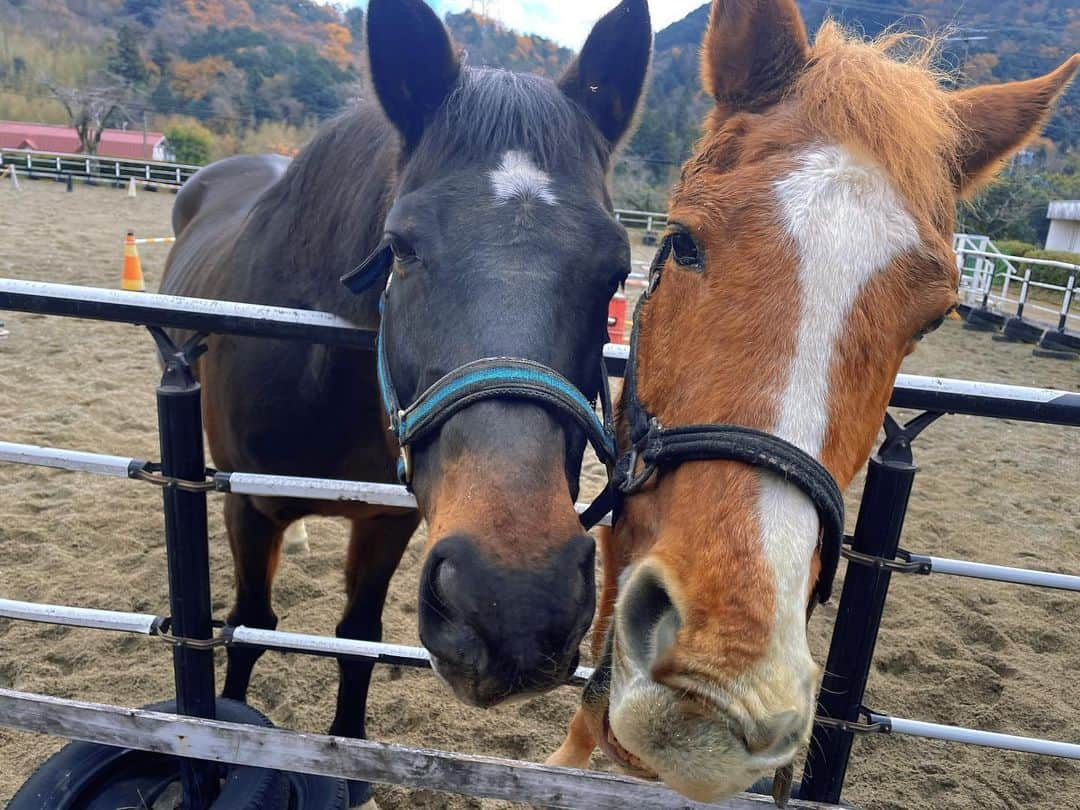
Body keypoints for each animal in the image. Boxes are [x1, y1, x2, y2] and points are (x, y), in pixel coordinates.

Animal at [160, 0, 648, 807]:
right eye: (402, 246)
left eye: (616, 271)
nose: (515, 603)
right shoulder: (246, 506)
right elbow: (252, 623)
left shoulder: (389, 519)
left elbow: (358, 635)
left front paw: (349, 759)